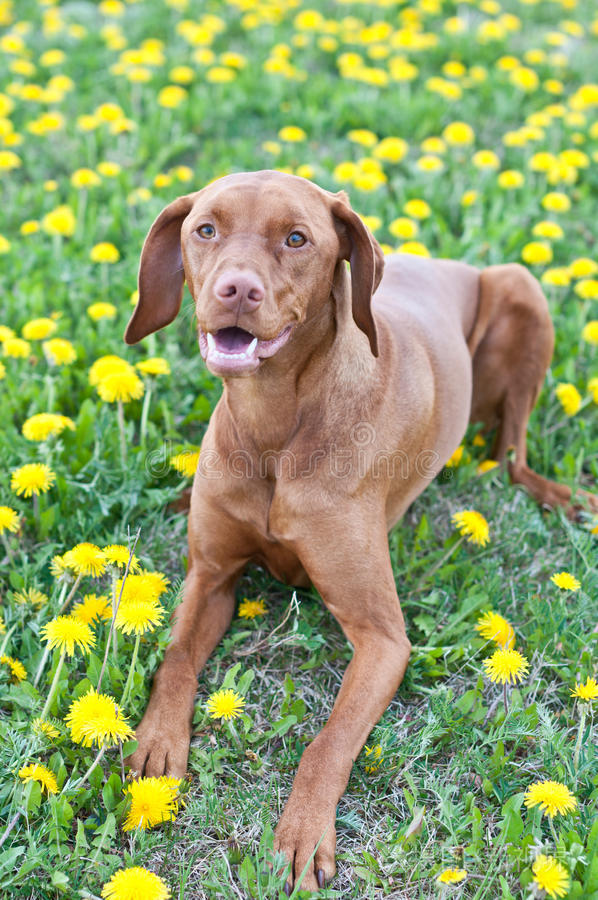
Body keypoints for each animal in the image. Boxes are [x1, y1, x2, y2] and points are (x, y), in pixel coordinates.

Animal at [124, 171, 596, 892]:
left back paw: (566, 498)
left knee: (512, 455)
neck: (276, 427)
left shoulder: (383, 639)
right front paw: (155, 743)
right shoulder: (212, 576)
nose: (237, 289)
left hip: (522, 291)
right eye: (205, 229)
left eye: (297, 239)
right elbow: (176, 658)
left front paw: (302, 833)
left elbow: (329, 741)